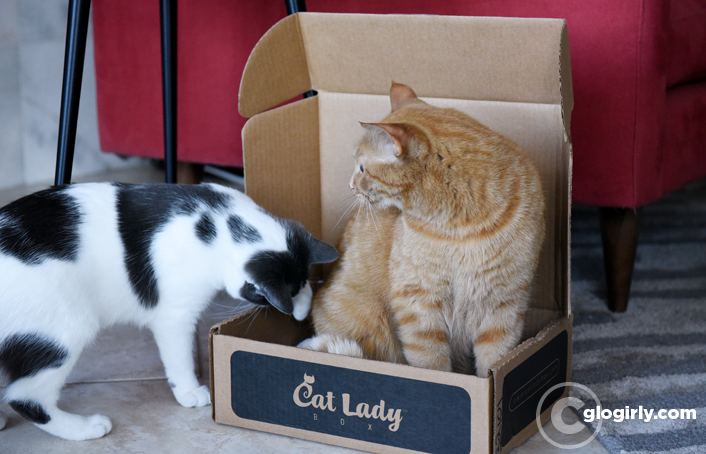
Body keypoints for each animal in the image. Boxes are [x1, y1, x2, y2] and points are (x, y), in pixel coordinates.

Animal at [0, 182, 338, 440]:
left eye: (297, 285)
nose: (287, 303)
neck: (218, 220)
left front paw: (304, 303)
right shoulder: (175, 315)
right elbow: (180, 357)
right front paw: (189, 391)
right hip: (64, 330)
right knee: (25, 398)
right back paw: (84, 428)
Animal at [300, 82, 545, 378]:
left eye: (361, 168)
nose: (350, 185)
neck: (463, 226)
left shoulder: (505, 304)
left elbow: (494, 362)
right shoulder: (418, 304)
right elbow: (431, 364)